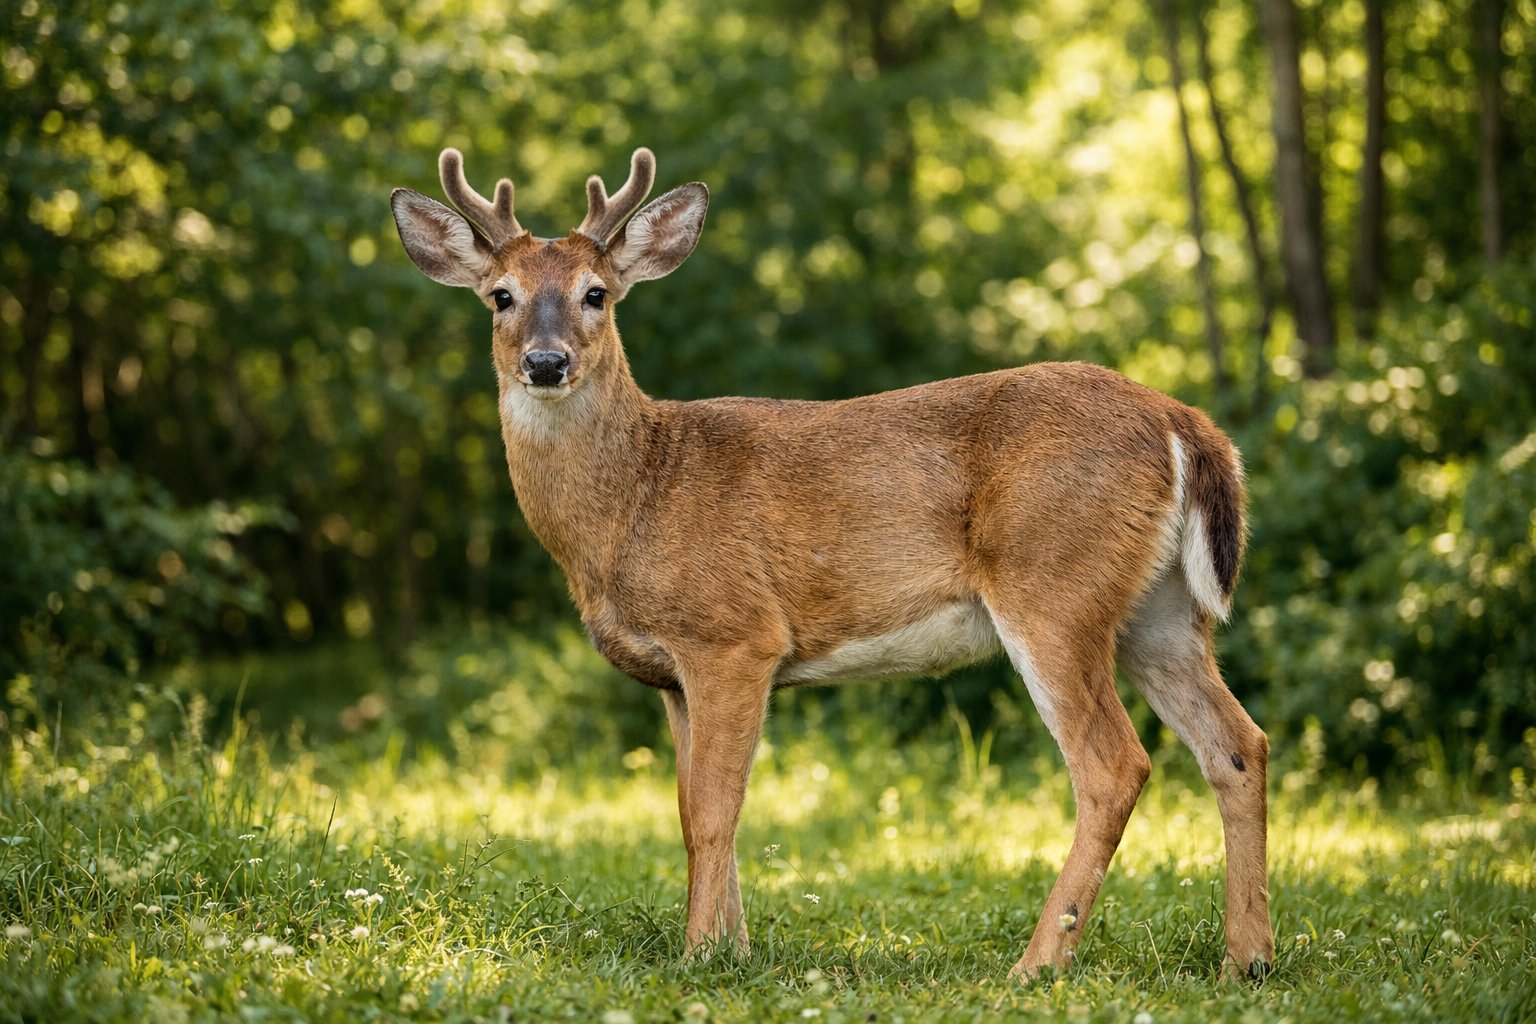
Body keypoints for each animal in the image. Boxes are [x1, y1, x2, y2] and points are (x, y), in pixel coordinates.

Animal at [389, 147, 1274, 980]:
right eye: (501, 296)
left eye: (596, 294)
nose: (546, 363)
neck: (635, 500)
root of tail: (1182, 420)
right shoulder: (673, 674)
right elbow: (693, 811)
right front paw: (734, 948)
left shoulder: (734, 636)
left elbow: (712, 809)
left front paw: (699, 954)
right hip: (1158, 608)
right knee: (1237, 744)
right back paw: (1247, 958)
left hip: (1054, 584)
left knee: (1114, 765)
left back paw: (1038, 963)